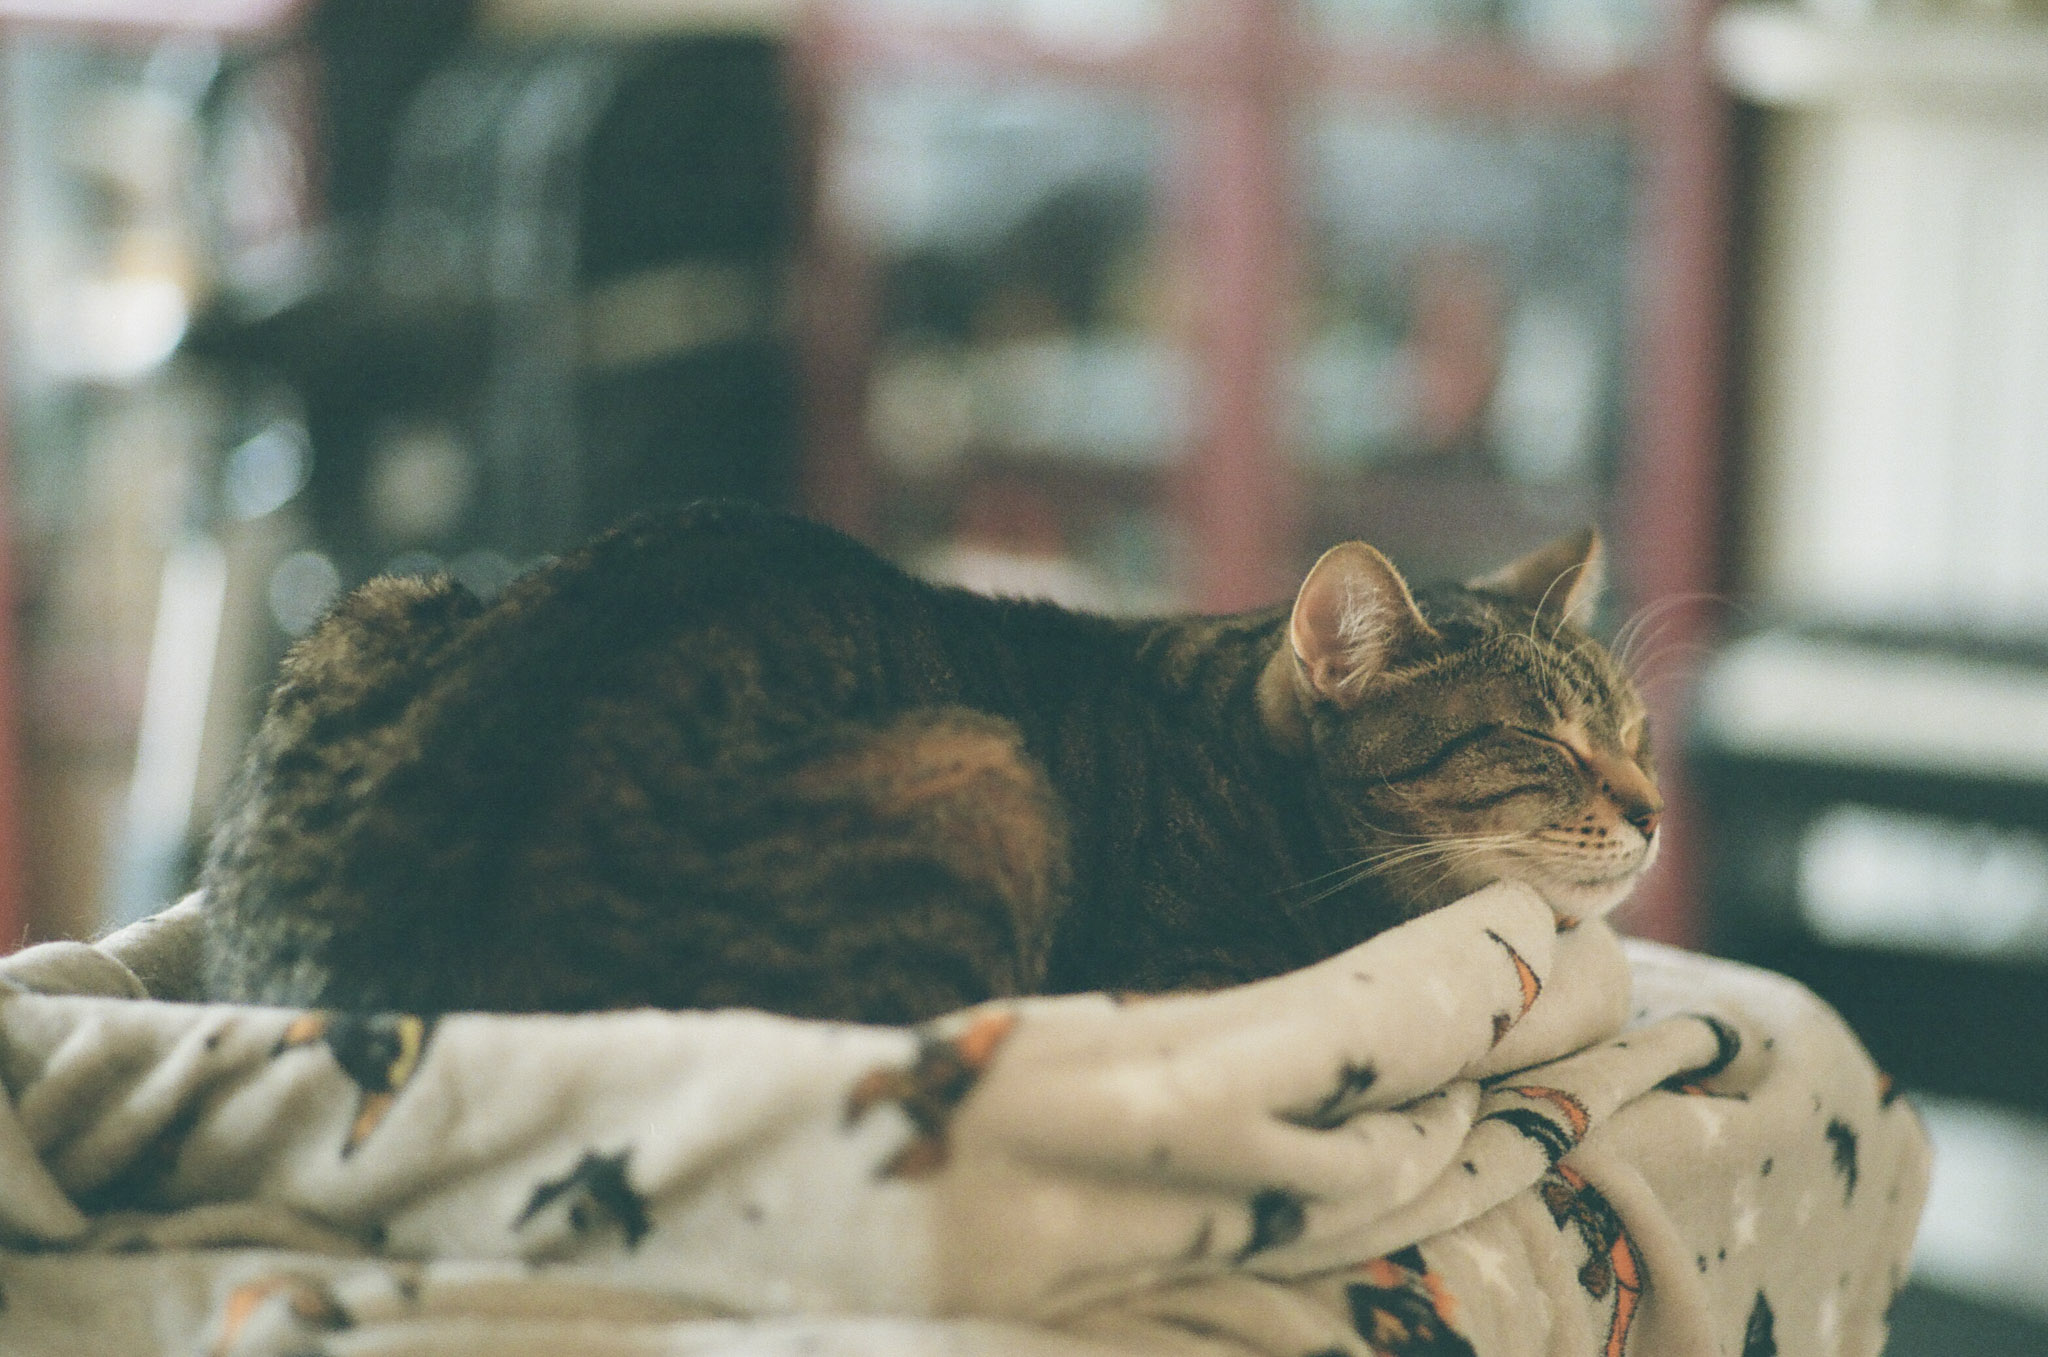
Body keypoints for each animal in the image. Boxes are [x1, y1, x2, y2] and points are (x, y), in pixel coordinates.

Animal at [195, 503, 1662, 1023]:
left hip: (379, 602)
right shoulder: (1186, 976)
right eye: (1544, 741)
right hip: (977, 778)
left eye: (1637, 733)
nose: (1654, 811)